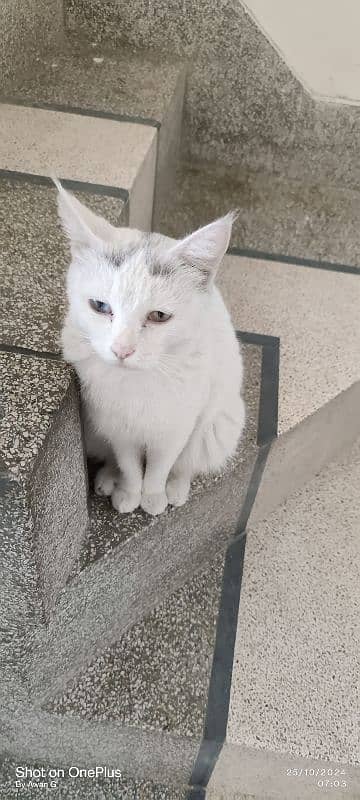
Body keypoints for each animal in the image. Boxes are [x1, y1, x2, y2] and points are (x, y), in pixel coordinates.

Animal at [57, 180, 245, 516]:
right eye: (100, 306)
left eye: (159, 316)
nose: (122, 349)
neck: (138, 382)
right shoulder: (117, 426)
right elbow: (130, 463)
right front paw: (130, 492)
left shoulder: (177, 427)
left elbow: (161, 465)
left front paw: (154, 496)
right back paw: (109, 479)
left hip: (218, 424)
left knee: (189, 461)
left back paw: (177, 488)